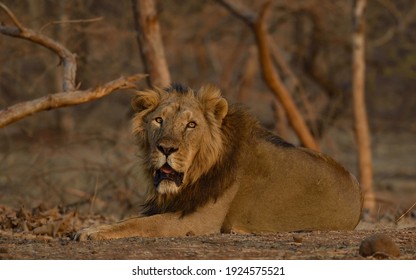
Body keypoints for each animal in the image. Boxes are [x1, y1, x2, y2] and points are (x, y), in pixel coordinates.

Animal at [76, 83, 362, 241]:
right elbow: (130, 219)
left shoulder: (197, 221)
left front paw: (92, 232)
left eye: (191, 125)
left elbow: (142, 224)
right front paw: (92, 226)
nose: (166, 148)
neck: (196, 173)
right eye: (159, 120)